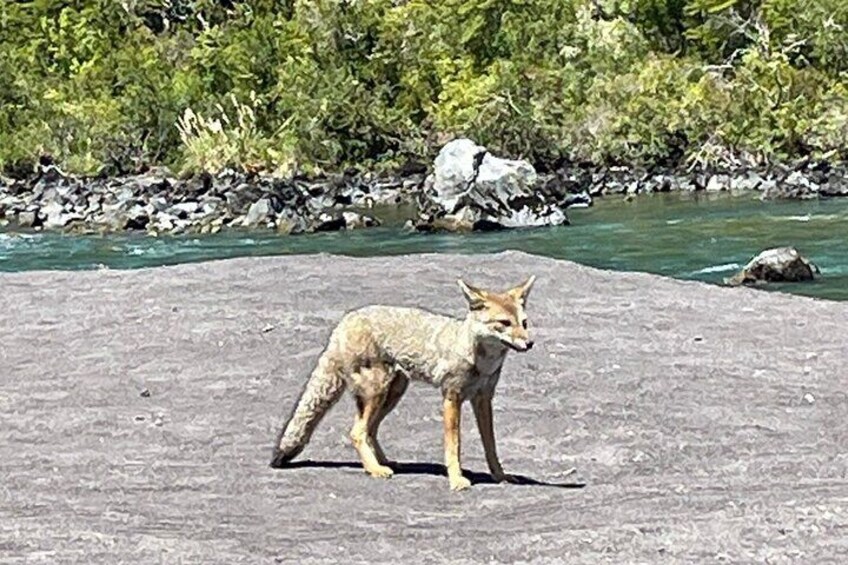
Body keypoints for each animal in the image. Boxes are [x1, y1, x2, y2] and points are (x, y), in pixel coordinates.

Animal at [272, 274, 536, 490]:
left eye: (524, 323)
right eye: (504, 323)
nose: (530, 343)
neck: (481, 361)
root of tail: (343, 322)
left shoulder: (483, 399)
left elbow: (491, 445)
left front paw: (500, 476)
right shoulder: (451, 397)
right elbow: (454, 445)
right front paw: (456, 480)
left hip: (393, 393)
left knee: (370, 430)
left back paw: (383, 462)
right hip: (378, 392)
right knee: (357, 432)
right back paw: (375, 469)